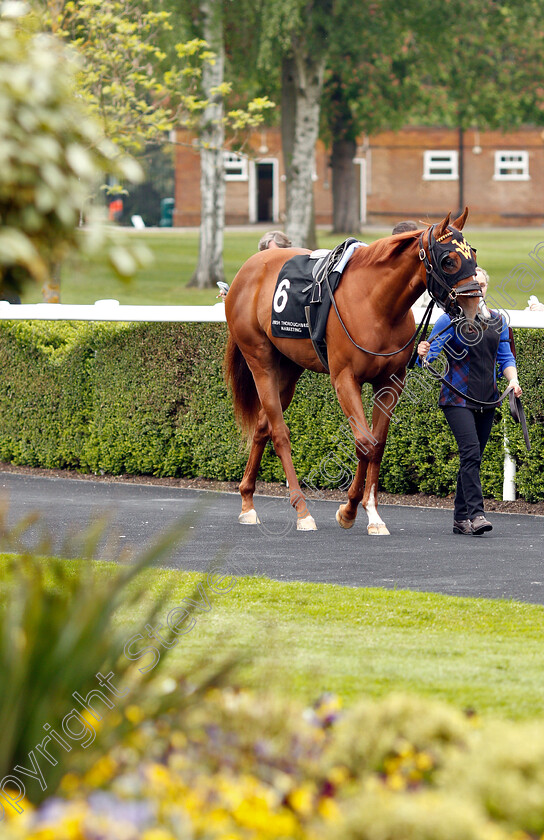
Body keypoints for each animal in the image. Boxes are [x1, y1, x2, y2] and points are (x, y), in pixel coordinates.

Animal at [224, 213, 476, 536]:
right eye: (449, 260)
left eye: (473, 255)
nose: (475, 307)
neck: (376, 304)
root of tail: (248, 268)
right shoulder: (344, 379)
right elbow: (364, 443)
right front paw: (349, 510)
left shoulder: (390, 382)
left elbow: (377, 445)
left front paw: (372, 514)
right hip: (260, 360)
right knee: (279, 432)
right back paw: (302, 510)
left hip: (289, 368)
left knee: (262, 426)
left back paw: (247, 502)